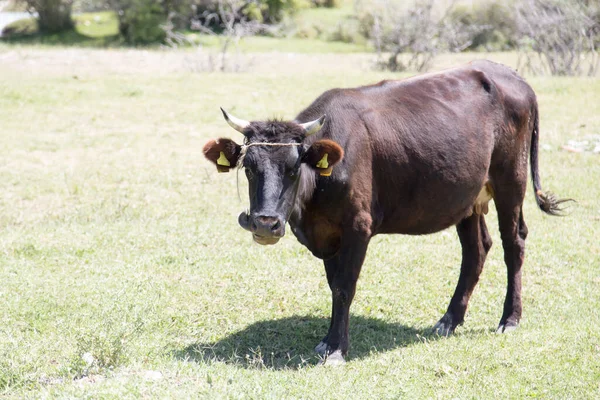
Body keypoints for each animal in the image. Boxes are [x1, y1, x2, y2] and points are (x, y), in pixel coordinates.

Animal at [204, 60, 568, 366]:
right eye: (249, 168)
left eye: (294, 168)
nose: (265, 223)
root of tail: (513, 76)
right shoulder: (328, 234)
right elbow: (334, 284)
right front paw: (327, 340)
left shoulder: (358, 227)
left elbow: (345, 287)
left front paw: (336, 349)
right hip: (466, 197)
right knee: (476, 250)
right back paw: (449, 320)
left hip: (511, 183)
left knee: (513, 244)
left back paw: (509, 318)